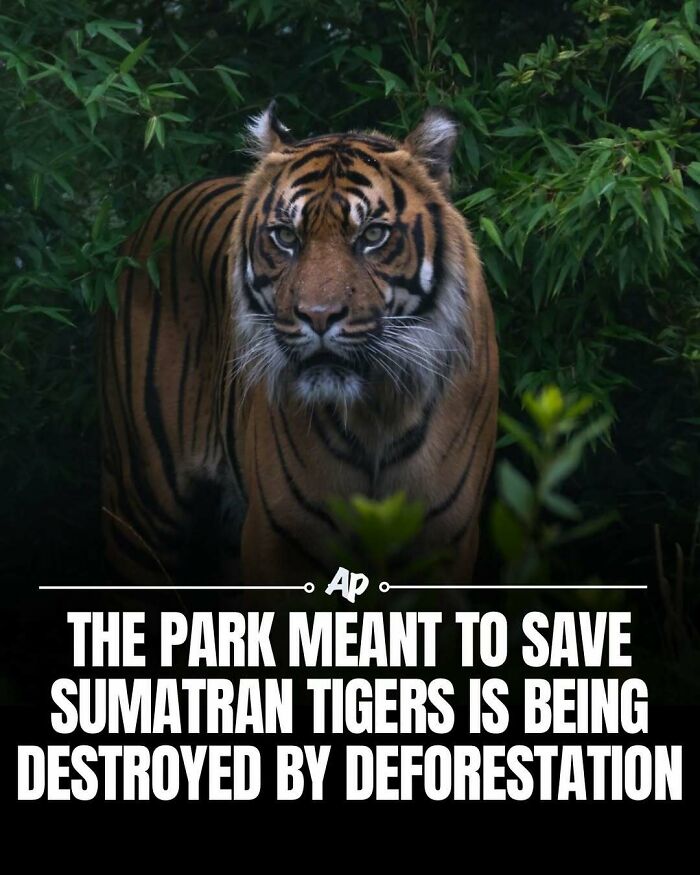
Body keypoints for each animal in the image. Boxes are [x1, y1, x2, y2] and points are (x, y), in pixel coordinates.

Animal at [98, 103, 499, 589]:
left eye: (372, 236)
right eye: (286, 237)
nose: (318, 316)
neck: (377, 414)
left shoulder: (444, 544)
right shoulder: (278, 541)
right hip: (141, 503)